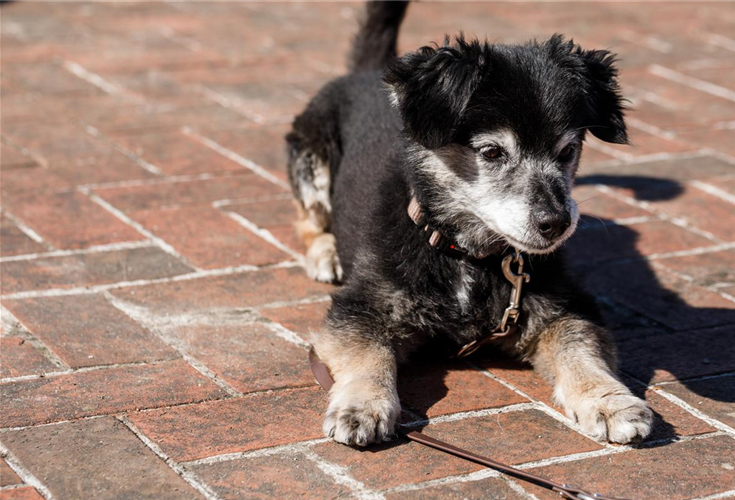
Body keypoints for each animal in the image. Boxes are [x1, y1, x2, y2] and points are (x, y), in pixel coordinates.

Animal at [284, 0, 652, 446]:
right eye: (491, 152)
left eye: (567, 151)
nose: (556, 222)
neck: (467, 255)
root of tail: (368, 72)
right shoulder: (360, 308)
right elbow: (367, 356)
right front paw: (362, 404)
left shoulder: (566, 308)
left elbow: (582, 352)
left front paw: (608, 401)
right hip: (311, 160)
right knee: (308, 219)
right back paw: (326, 253)